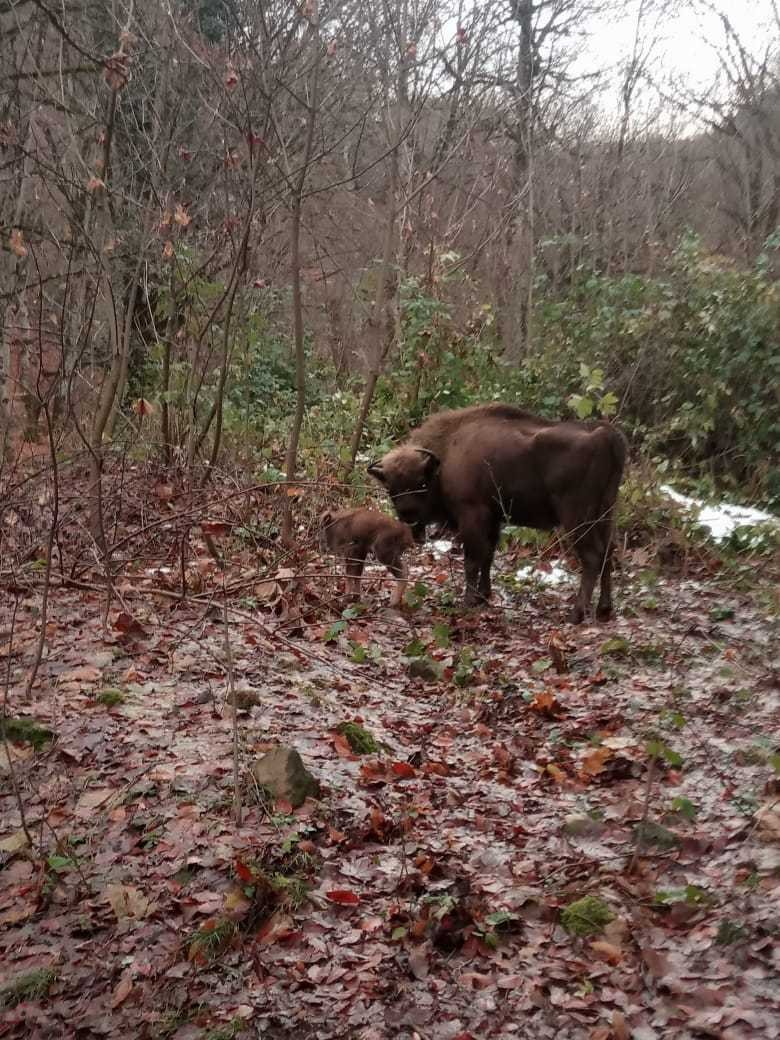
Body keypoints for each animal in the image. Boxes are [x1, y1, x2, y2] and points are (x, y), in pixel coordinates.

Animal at [370, 401, 632, 619]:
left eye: (421, 483)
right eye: (391, 489)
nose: (408, 516)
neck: (445, 457)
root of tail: (605, 434)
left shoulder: (472, 515)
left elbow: (473, 559)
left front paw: (469, 601)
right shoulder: (493, 518)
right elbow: (488, 555)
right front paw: (484, 596)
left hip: (577, 518)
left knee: (593, 556)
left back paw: (576, 614)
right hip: (606, 512)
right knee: (609, 552)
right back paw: (604, 609)